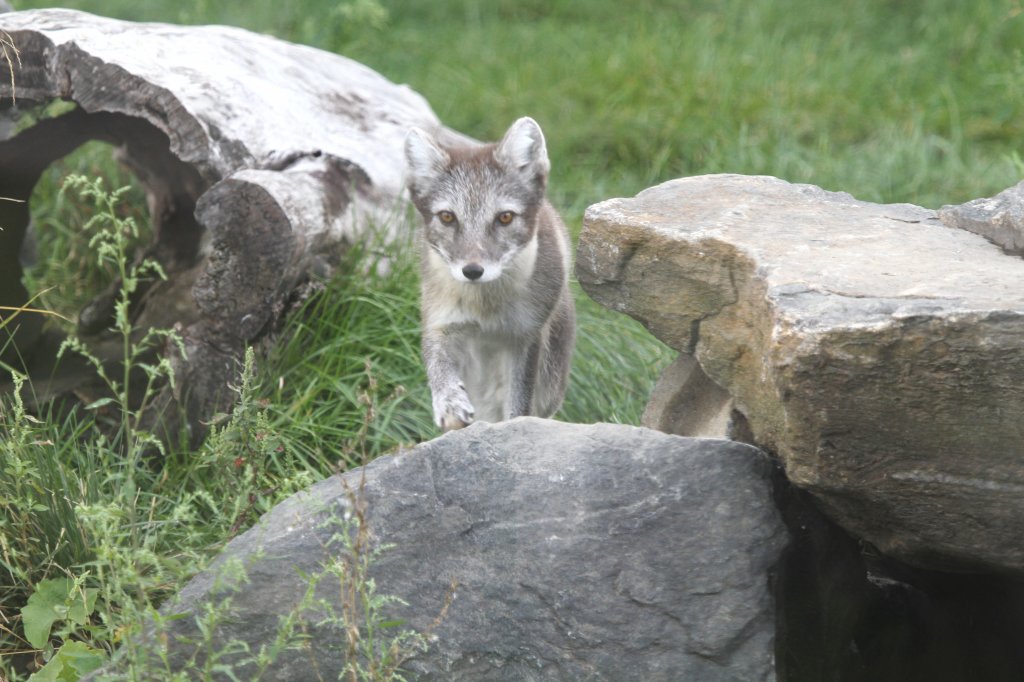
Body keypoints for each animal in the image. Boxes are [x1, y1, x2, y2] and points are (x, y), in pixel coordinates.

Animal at [401, 114, 577, 428]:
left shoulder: (526, 337)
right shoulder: (439, 321)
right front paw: (449, 403)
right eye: (447, 217)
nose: (472, 271)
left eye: (504, 217)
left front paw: (513, 428)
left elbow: (519, 404)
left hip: (551, 382)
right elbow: (438, 367)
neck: (485, 313)